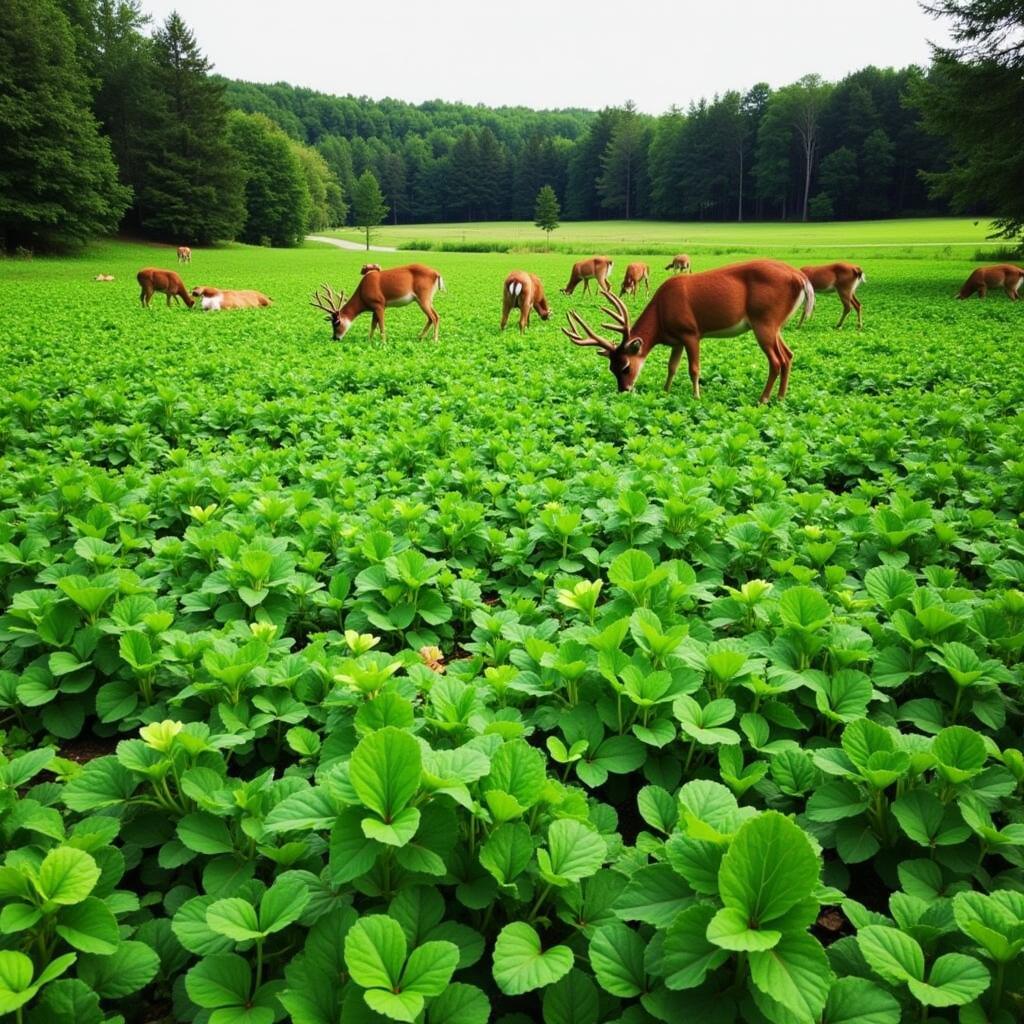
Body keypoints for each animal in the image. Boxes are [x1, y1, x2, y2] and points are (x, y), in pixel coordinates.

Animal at [307, 262, 444, 342]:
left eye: (336, 323)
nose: (335, 338)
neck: (362, 294)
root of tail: (437, 273)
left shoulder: (379, 304)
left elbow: (381, 325)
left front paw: (383, 343)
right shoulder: (373, 307)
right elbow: (373, 325)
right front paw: (369, 341)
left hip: (424, 297)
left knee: (434, 316)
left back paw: (434, 340)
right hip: (424, 299)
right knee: (433, 317)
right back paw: (420, 337)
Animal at [565, 260, 811, 403]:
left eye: (625, 367)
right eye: (611, 368)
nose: (624, 390)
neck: (661, 314)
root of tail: (801, 278)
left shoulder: (691, 332)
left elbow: (693, 369)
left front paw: (696, 396)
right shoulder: (677, 340)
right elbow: (671, 367)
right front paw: (665, 391)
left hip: (764, 320)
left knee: (776, 360)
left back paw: (763, 399)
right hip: (774, 325)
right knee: (788, 355)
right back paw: (781, 397)